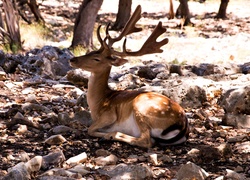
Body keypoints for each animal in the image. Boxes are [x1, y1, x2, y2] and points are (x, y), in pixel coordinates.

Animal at [69, 4, 188, 148]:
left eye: (96, 59)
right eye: (90, 51)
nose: (72, 59)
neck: (99, 103)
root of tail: (183, 126)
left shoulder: (109, 115)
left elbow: (90, 129)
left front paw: (105, 133)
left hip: (142, 108)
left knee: (147, 140)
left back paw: (110, 135)